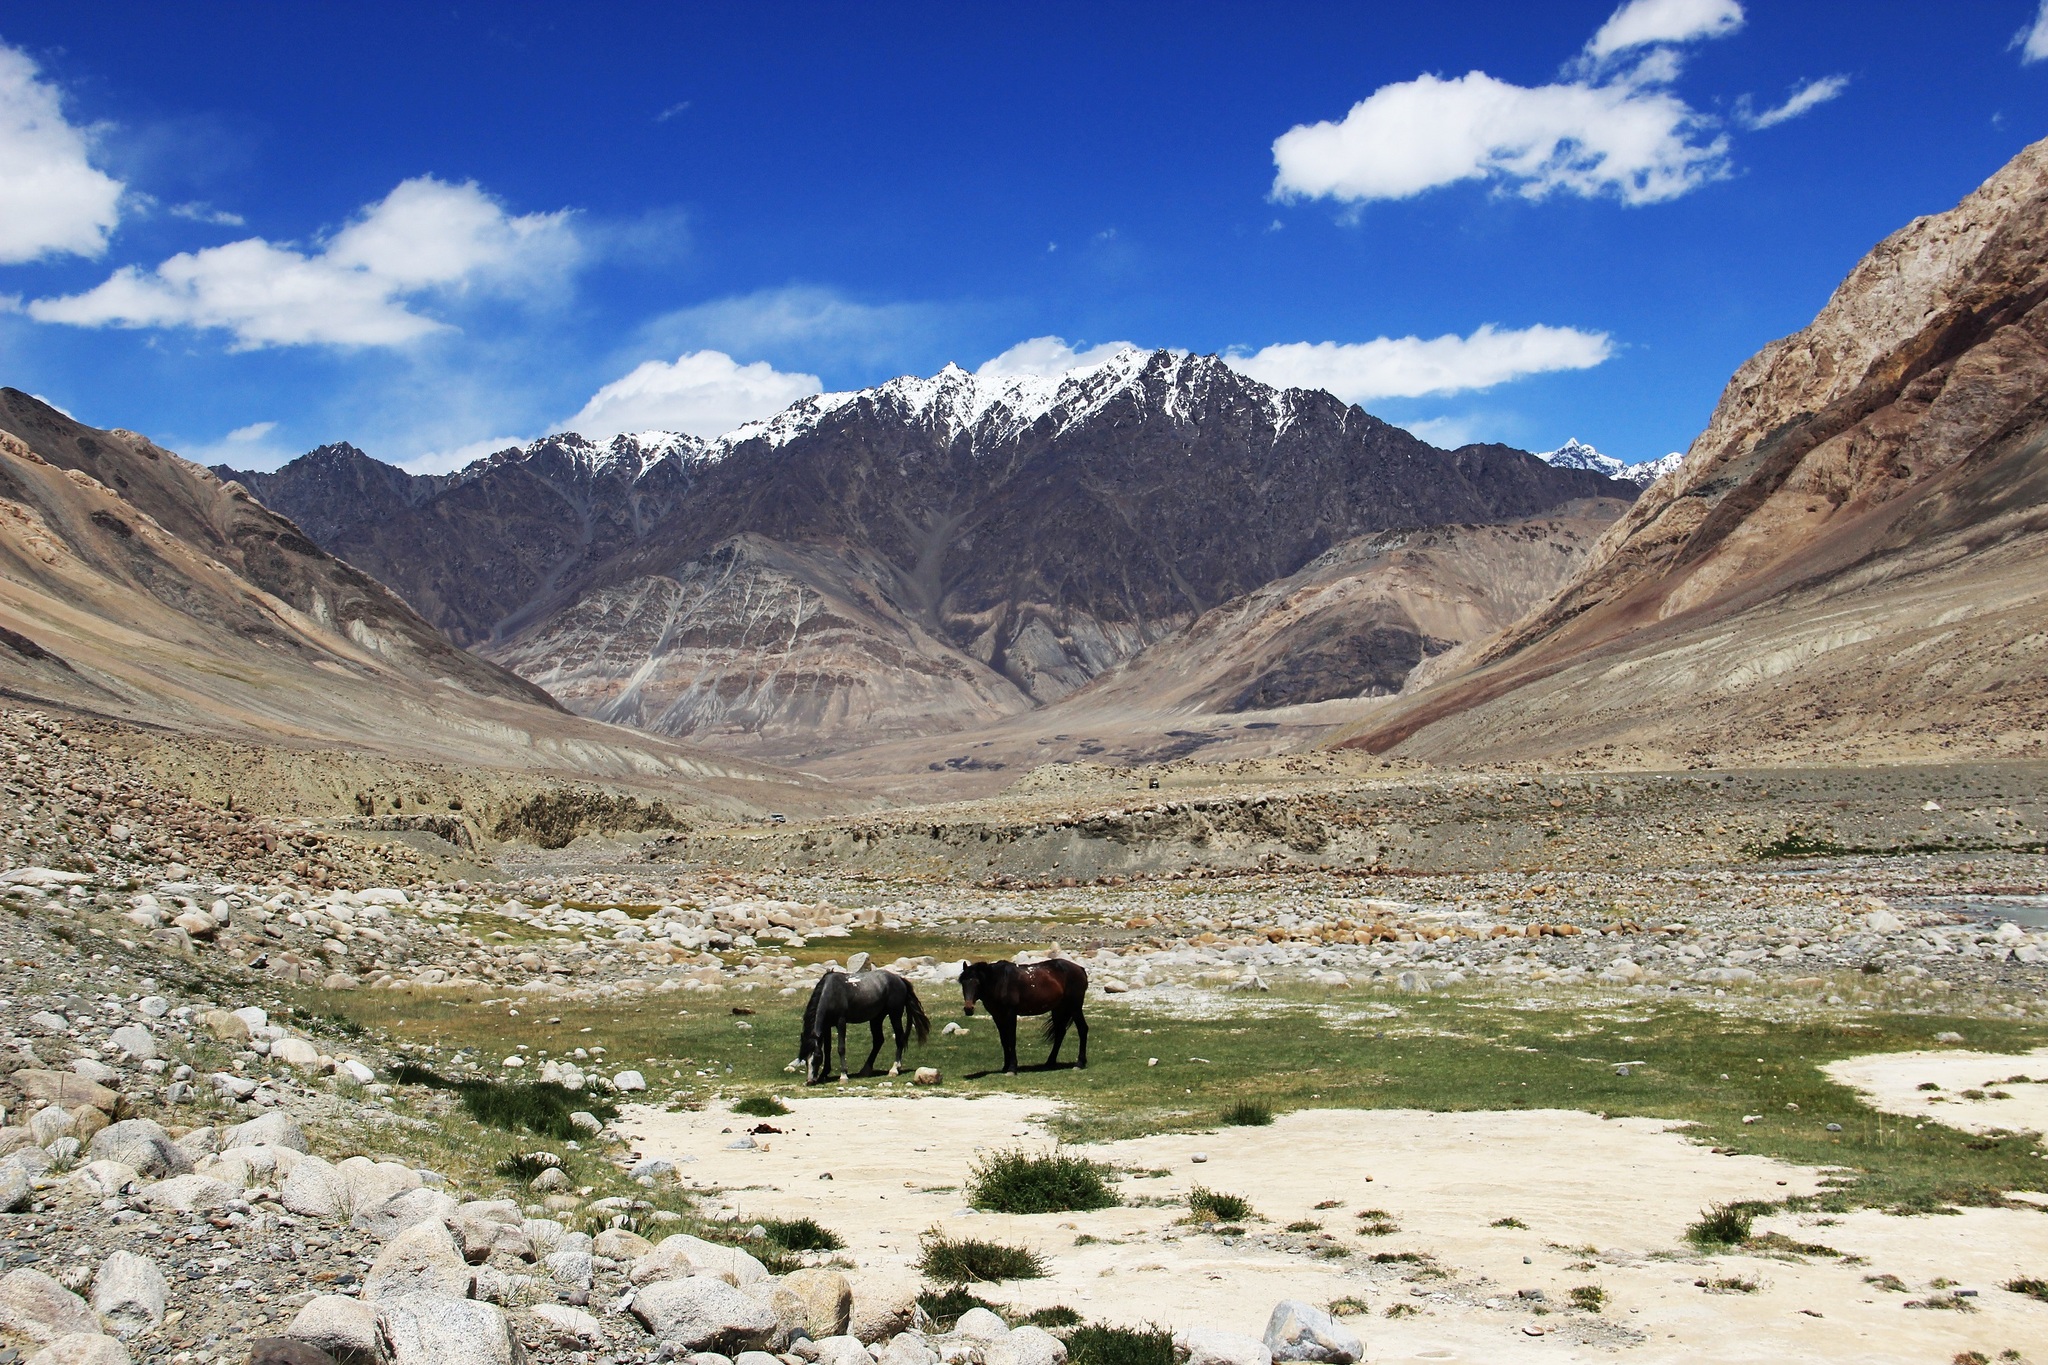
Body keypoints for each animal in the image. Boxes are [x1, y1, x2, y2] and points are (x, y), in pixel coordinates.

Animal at [794, 978, 933, 1080]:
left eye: (817, 1056)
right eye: (804, 1058)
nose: (810, 1081)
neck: (831, 992)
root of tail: (900, 979)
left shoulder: (841, 1021)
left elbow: (841, 1048)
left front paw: (843, 1075)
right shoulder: (827, 1025)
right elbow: (827, 1049)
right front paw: (824, 1074)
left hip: (895, 1014)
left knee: (899, 1038)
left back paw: (894, 1069)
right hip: (876, 1018)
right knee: (878, 1041)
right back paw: (865, 1070)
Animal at [958, 961, 1089, 1080]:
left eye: (977, 982)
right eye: (963, 983)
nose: (968, 1008)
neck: (1000, 981)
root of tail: (1080, 969)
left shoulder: (1010, 1014)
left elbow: (1011, 1040)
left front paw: (1012, 1068)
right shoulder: (997, 1016)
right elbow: (1004, 1041)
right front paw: (1005, 1066)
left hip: (1075, 1008)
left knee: (1082, 1029)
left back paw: (1079, 1064)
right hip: (1058, 1009)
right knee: (1060, 1033)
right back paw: (1050, 1062)